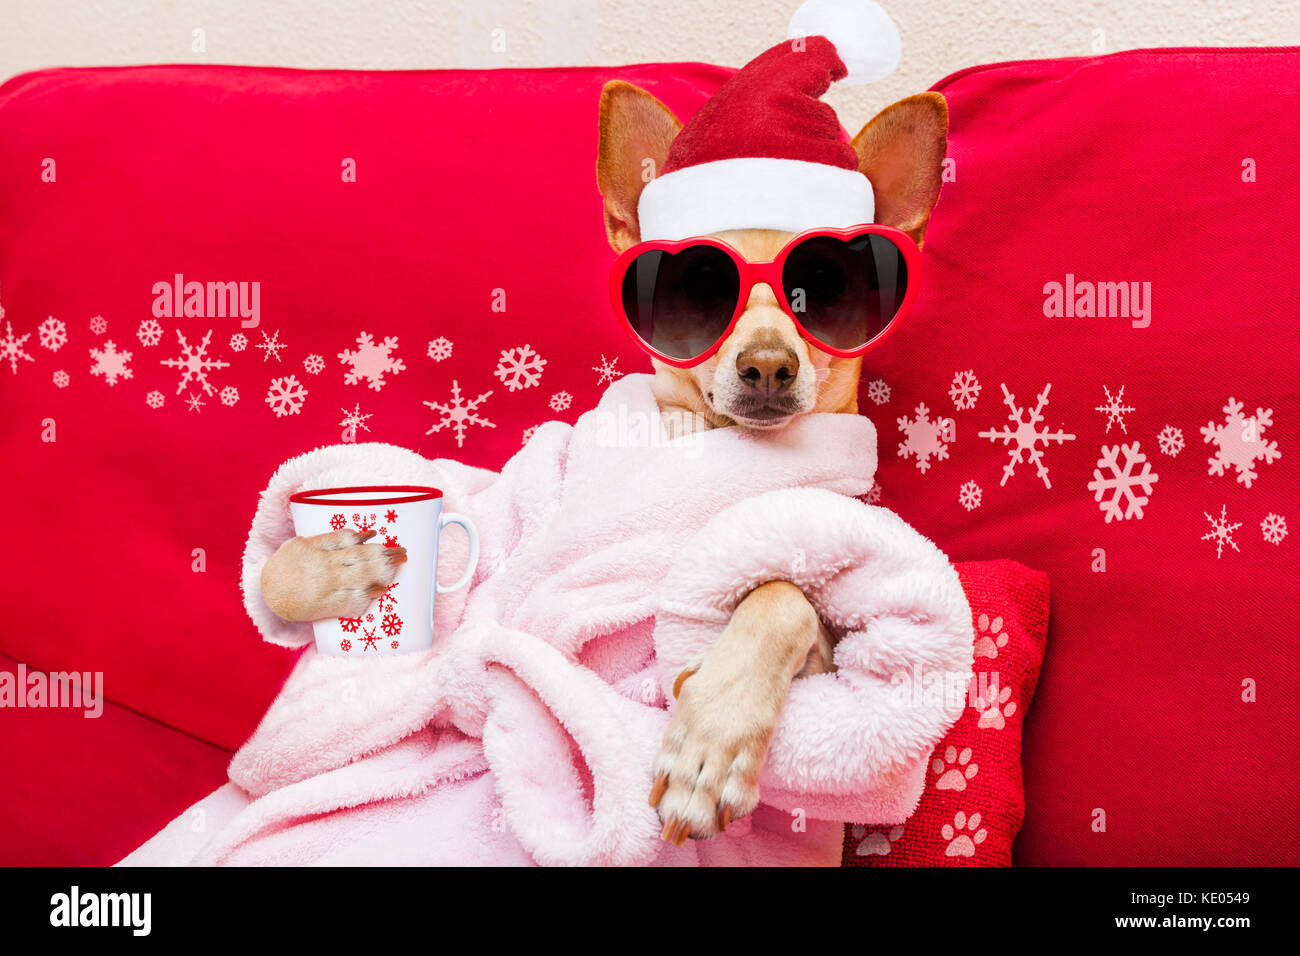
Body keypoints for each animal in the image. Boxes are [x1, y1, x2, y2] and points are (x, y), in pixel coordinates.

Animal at [258, 78, 946, 848]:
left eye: (823, 291)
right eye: (699, 288)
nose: (768, 364)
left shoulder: (834, 656)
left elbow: (780, 596)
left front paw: (711, 740)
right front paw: (335, 568)